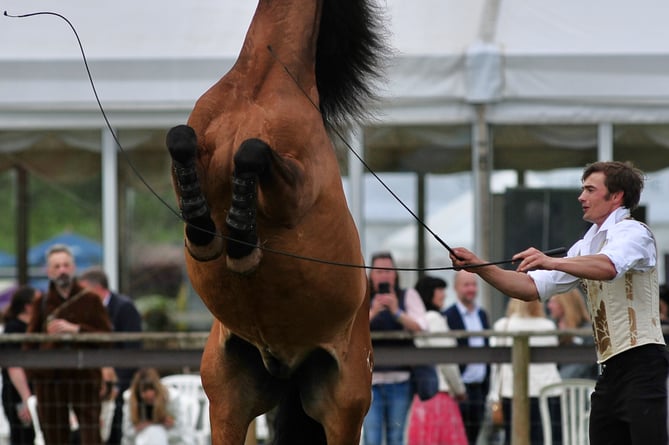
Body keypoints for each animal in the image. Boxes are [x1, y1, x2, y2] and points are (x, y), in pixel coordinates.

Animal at [166, 0, 386, 444]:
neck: (260, 85)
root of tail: (288, 366)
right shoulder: (194, 145)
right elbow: (179, 139)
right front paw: (202, 229)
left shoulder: (295, 192)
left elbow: (252, 151)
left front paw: (240, 238)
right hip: (227, 400)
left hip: (345, 408)